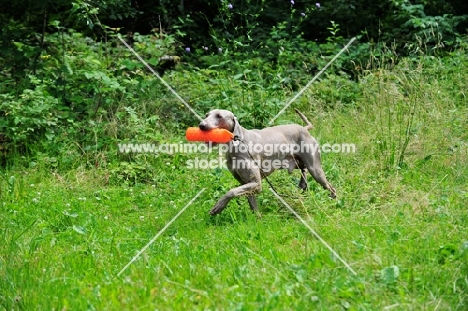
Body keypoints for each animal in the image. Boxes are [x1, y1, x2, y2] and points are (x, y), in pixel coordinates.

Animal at [198, 108, 336, 216]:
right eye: (206, 115)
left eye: (219, 116)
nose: (201, 125)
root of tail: (304, 128)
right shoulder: (246, 183)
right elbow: (253, 207)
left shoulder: (256, 183)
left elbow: (231, 191)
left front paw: (218, 206)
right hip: (298, 163)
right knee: (304, 172)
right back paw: (302, 186)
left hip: (316, 170)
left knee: (330, 187)